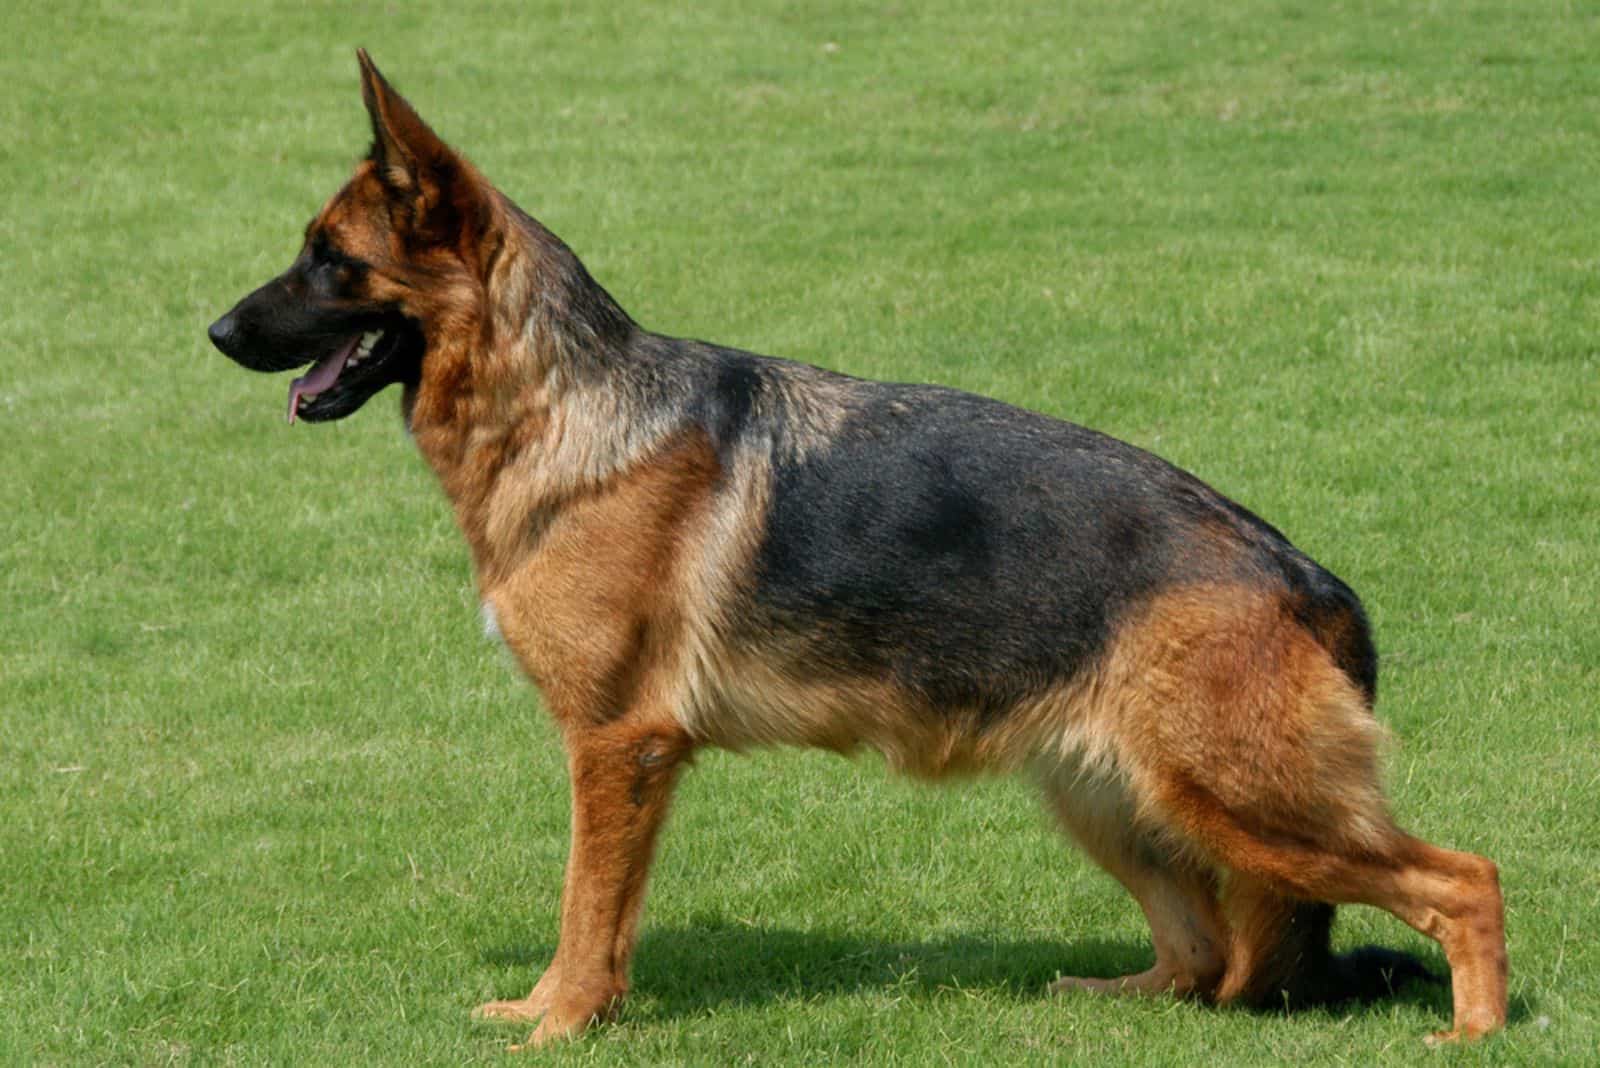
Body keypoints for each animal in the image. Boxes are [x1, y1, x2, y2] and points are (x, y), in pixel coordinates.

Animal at [206, 54, 1504, 1048]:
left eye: (330, 259)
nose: (212, 330)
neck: (559, 407)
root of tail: (1311, 581)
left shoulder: (617, 747)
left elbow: (586, 910)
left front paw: (559, 1025)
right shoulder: (629, 758)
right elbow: (604, 917)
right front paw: (562, 1012)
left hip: (1239, 801)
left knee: (1459, 880)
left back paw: (1472, 1029)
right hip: (1114, 798)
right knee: (1204, 960)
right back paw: (1101, 997)